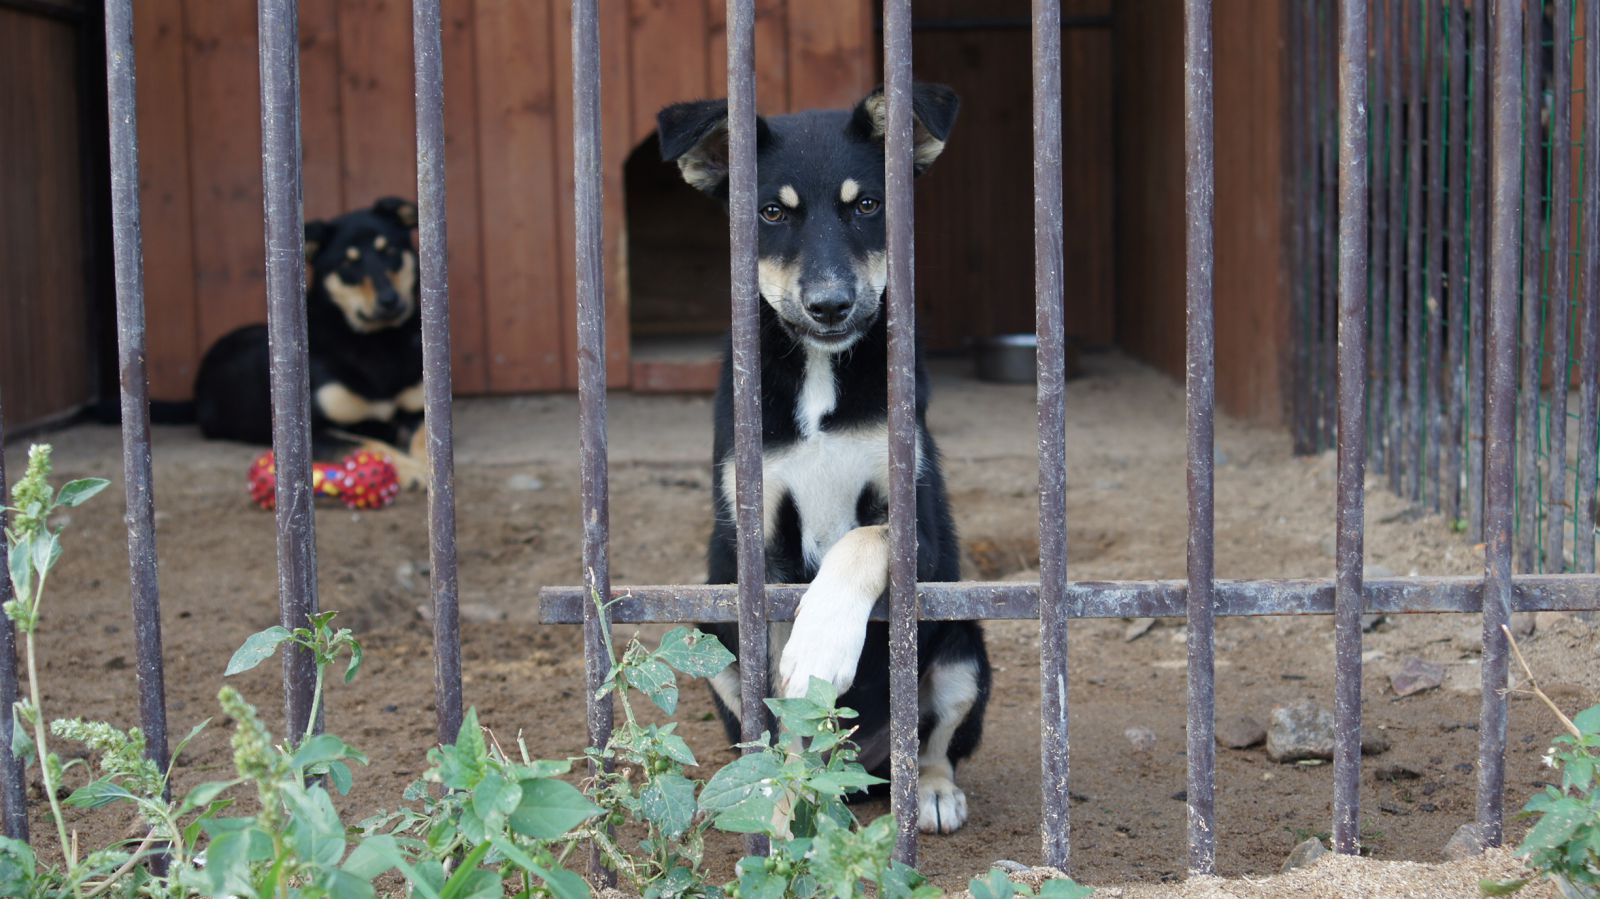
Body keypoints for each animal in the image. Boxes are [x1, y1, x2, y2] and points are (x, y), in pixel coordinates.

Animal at [192, 192, 428, 479]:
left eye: (390, 251)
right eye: (347, 263)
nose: (389, 300)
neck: (378, 342)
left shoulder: (417, 410)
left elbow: (426, 437)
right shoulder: (314, 432)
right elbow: (369, 444)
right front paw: (411, 470)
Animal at [652, 80, 985, 831]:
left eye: (867, 206)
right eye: (771, 212)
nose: (830, 305)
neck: (821, 374)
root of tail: (865, 773)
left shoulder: (918, 527)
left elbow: (862, 538)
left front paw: (822, 643)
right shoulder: (756, 548)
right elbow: (788, 725)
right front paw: (783, 823)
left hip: (963, 646)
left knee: (936, 738)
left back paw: (932, 789)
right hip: (713, 632)